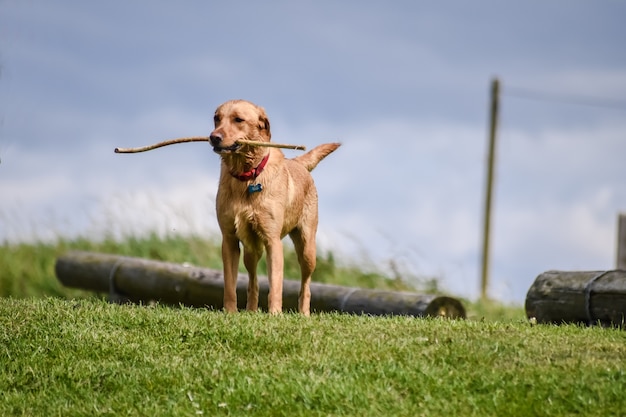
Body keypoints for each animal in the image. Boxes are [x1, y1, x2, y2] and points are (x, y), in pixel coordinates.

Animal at [208, 100, 336, 316]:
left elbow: (276, 284)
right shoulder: (229, 240)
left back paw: (304, 313)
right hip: (251, 250)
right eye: (216, 118)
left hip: (307, 249)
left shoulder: (272, 240)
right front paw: (230, 313)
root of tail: (297, 163)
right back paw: (251, 311)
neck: (247, 176)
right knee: (253, 282)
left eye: (238, 119)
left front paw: (275, 314)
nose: (214, 137)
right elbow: (230, 285)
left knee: (306, 285)